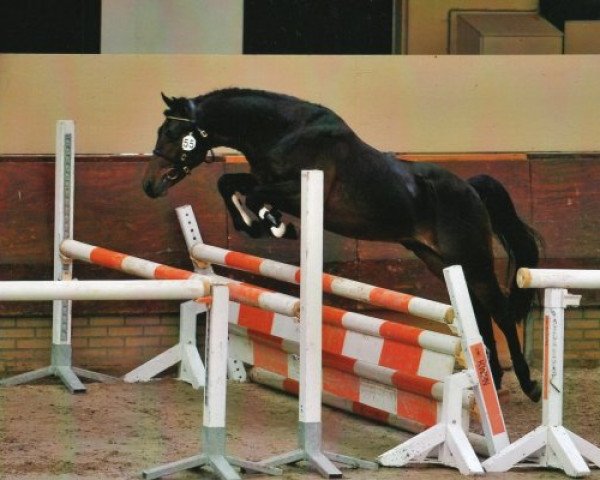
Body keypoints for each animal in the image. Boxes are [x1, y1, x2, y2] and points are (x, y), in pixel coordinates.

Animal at [143, 86, 540, 402]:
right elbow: (228, 184)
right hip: (441, 260)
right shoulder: (265, 180)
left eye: (176, 132)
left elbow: (253, 194)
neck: (285, 131)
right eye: (161, 130)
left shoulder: (296, 189)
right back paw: (494, 381)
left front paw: (276, 226)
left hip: (472, 259)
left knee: (500, 313)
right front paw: (258, 225)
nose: (149, 185)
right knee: (479, 312)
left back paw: (529, 385)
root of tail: (470, 188)